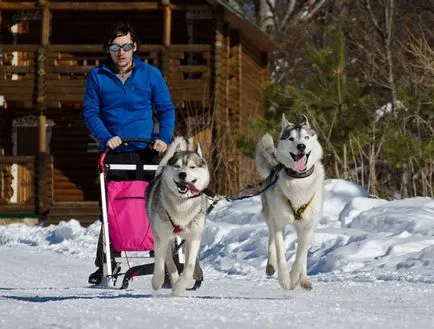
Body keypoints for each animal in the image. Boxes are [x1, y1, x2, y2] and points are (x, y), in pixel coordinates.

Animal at [147, 136, 211, 294]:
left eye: (192, 167)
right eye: (177, 166)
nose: (182, 174)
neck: (182, 204)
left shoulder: (193, 238)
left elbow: (189, 267)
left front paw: (179, 288)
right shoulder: (161, 237)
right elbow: (160, 262)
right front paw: (157, 282)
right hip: (163, 235)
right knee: (169, 260)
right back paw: (172, 278)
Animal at [256, 113, 324, 290]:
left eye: (306, 137)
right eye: (291, 138)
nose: (301, 146)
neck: (299, 180)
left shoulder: (307, 227)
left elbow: (300, 256)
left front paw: (295, 278)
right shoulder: (279, 223)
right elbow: (281, 253)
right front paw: (285, 280)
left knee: (303, 253)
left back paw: (304, 279)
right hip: (271, 216)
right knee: (271, 238)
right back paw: (271, 265)